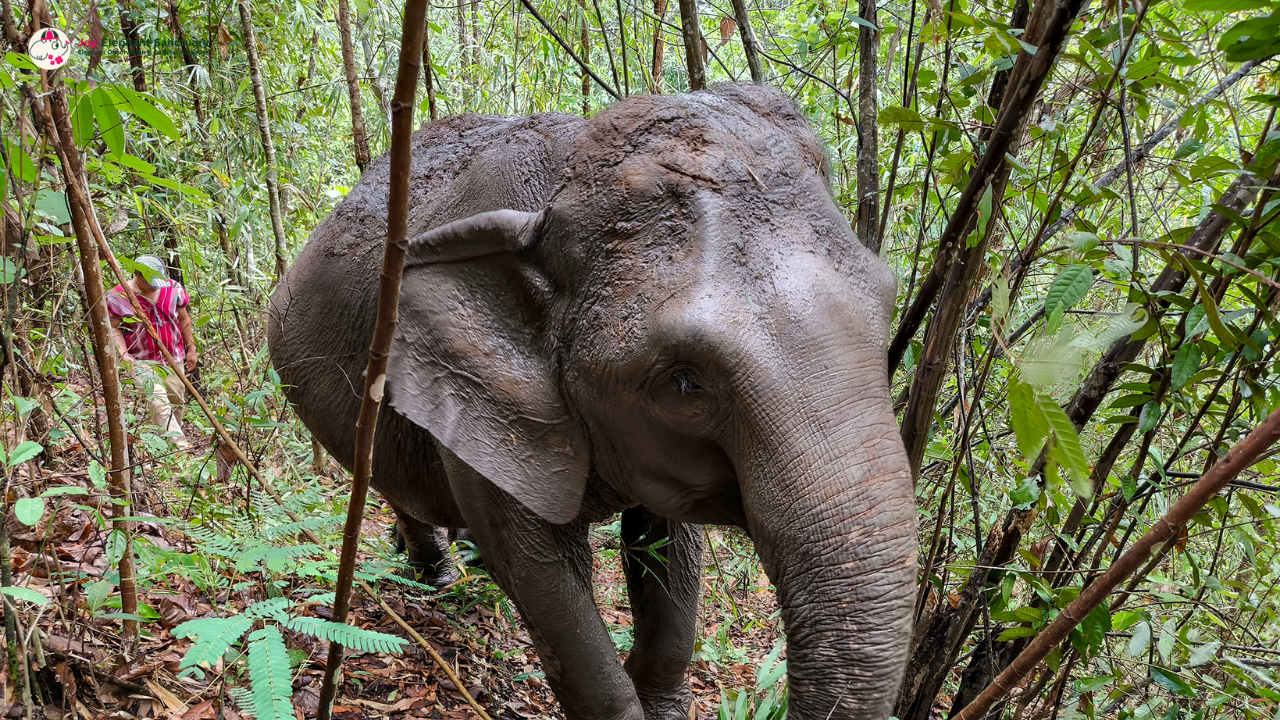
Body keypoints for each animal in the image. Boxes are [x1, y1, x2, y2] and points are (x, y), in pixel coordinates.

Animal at [264, 81, 916, 717]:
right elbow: (542, 578)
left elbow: (668, 548)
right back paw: (439, 577)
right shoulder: (480, 399)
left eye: (888, 304)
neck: (557, 192)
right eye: (686, 382)